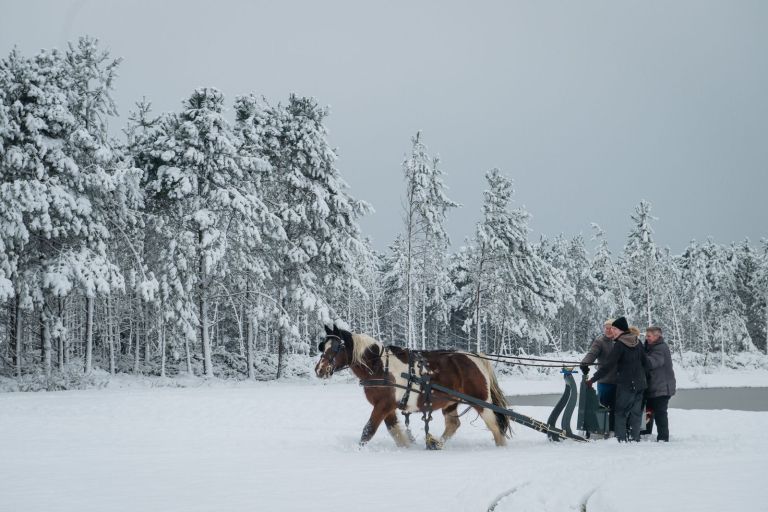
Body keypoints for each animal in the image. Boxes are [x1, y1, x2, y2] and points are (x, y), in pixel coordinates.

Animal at [312, 324, 510, 448]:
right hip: (450, 401)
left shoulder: (383, 405)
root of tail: (475, 357)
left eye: (335, 347)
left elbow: (368, 430)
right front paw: (407, 447)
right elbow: (395, 432)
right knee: (454, 424)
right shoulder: (387, 407)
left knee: (495, 427)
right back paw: (436, 444)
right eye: (323, 346)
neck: (379, 366)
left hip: (480, 401)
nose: (319, 370)